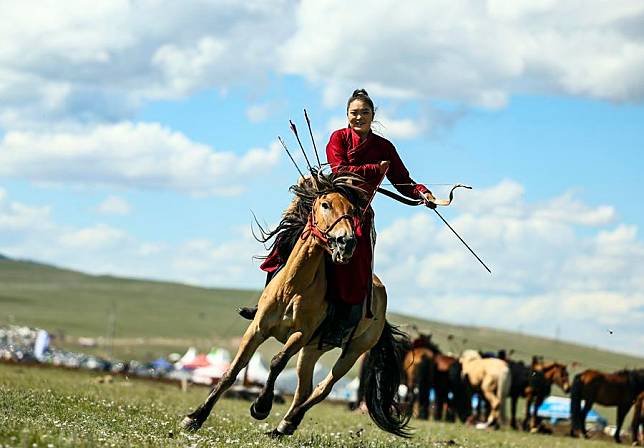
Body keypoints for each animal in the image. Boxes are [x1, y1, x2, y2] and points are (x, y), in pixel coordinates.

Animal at [181, 171, 412, 438]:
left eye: (353, 210)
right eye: (325, 204)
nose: (346, 242)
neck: (292, 288)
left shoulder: (300, 335)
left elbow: (277, 361)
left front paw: (261, 406)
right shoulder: (257, 329)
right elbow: (233, 370)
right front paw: (195, 417)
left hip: (353, 351)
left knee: (323, 388)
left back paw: (288, 421)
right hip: (313, 350)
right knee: (304, 389)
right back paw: (282, 428)